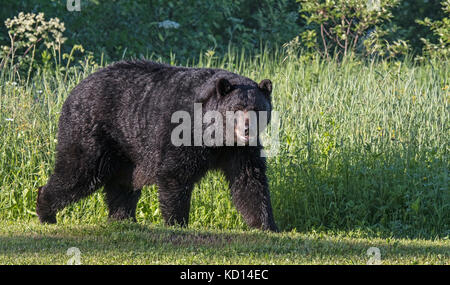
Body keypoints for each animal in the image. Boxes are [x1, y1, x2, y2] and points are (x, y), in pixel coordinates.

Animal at [37, 60, 278, 231]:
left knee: (122, 183)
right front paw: (177, 221)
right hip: (93, 132)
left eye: (257, 108)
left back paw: (122, 218)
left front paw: (266, 225)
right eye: (236, 108)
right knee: (78, 172)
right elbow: (175, 173)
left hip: (126, 150)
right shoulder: (184, 132)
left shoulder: (239, 150)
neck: (218, 135)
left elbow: (249, 180)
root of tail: (73, 90)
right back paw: (45, 210)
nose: (247, 130)